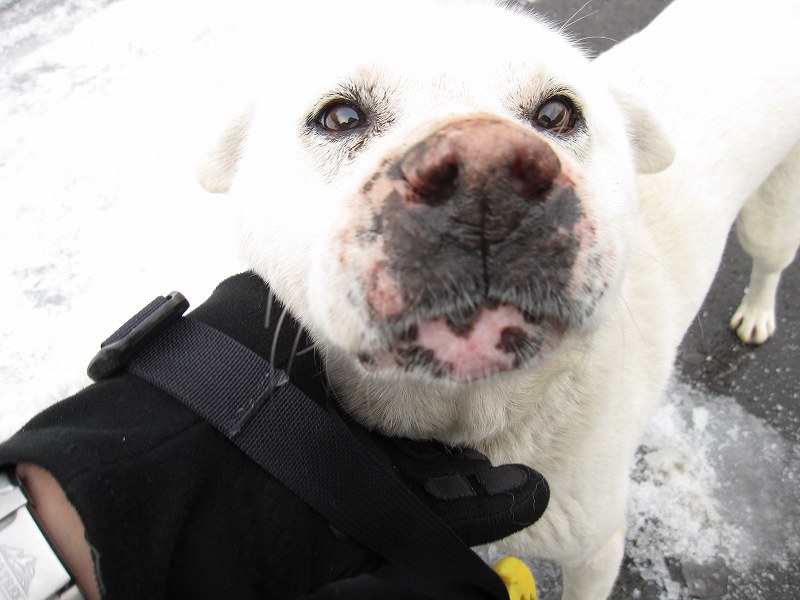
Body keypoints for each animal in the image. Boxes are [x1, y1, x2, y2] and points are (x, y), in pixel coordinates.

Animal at [198, 2, 800, 596]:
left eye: (557, 112)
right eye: (339, 117)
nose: (482, 176)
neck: (473, 424)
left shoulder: (596, 550)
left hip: (771, 218)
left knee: (770, 262)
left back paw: (756, 314)